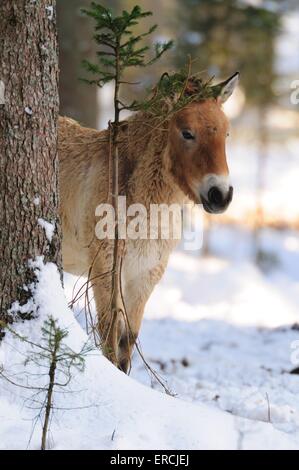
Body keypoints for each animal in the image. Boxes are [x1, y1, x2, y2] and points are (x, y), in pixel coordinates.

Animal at [58, 71, 240, 372]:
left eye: (226, 133)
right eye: (187, 133)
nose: (220, 195)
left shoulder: (144, 276)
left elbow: (126, 344)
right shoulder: (107, 272)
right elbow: (110, 337)